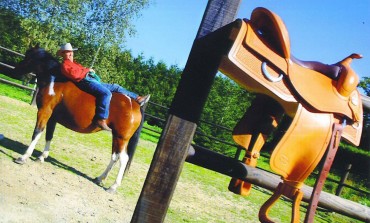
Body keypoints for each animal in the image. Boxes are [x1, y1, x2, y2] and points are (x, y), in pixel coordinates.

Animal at [13, 44, 143, 193]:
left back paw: (113, 187)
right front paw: (41, 157)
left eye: (28, 57)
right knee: (115, 157)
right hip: (116, 137)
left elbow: (37, 132)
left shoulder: (44, 112)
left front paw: (23, 157)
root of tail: (135, 105)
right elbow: (49, 135)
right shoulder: (52, 118)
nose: (15, 70)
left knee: (123, 159)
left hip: (122, 138)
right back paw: (99, 178)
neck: (53, 81)